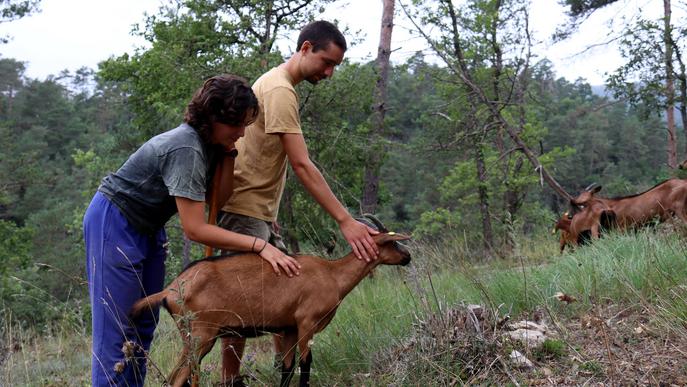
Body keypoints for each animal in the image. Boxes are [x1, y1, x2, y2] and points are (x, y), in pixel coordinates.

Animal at [130, 232, 412, 386]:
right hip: (201, 336)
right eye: (393, 243)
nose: (408, 256)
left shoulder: (288, 329)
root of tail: (170, 289)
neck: (332, 274)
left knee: (173, 377)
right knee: (177, 379)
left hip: (193, 339)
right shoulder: (306, 323)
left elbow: (287, 368)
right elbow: (306, 364)